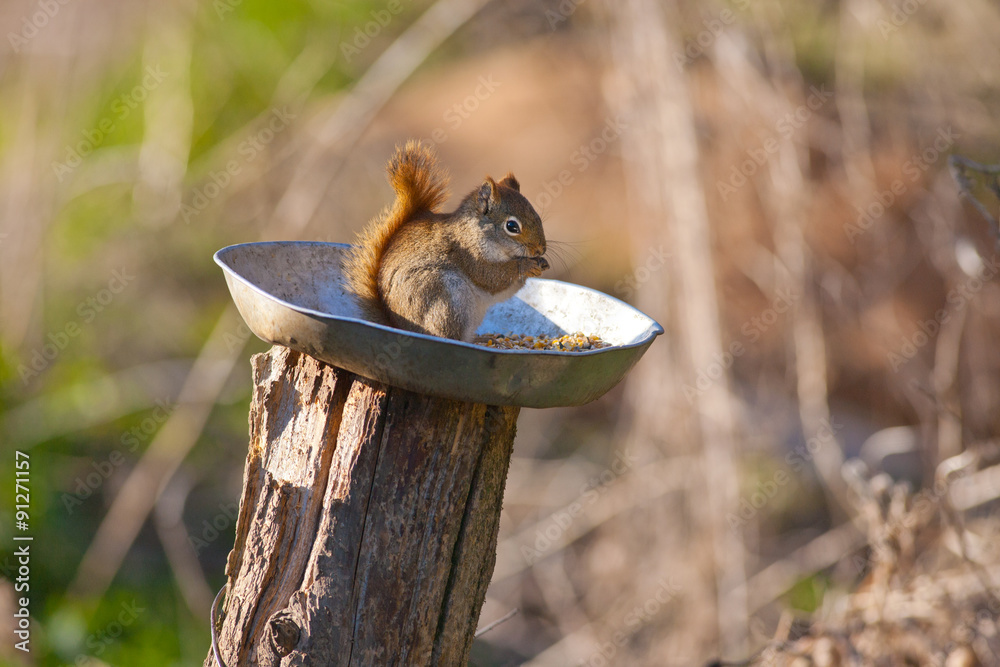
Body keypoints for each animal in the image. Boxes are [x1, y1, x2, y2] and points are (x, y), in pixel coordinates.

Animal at [344, 140, 549, 342]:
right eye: (512, 226)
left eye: (537, 216)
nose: (540, 250)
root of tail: (398, 326)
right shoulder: (468, 255)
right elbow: (492, 276)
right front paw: (526, 265)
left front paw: (542, 263)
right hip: (443, 298)